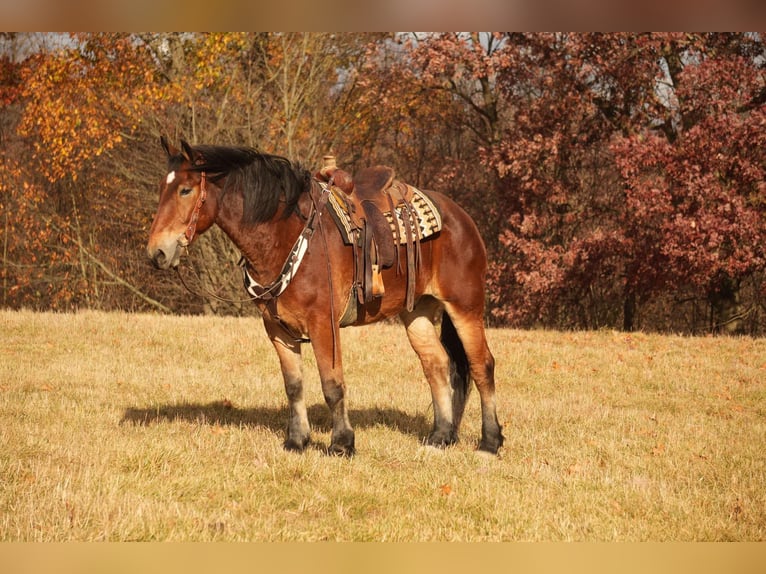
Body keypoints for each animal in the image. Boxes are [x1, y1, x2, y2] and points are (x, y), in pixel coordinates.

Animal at [146, 140, 504, 460]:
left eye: (185, 190)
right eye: (162, 189)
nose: (157, 252)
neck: (286, 235)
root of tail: (461, 217)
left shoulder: (323, 324)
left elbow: (332, 385)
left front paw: (342, 444)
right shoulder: (277, 329)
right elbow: (293, 385)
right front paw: (297, 441)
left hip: (464, 307)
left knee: (481, 365)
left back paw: (489, 443)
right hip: (417, 312)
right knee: (436, 364)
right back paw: (440, 437)